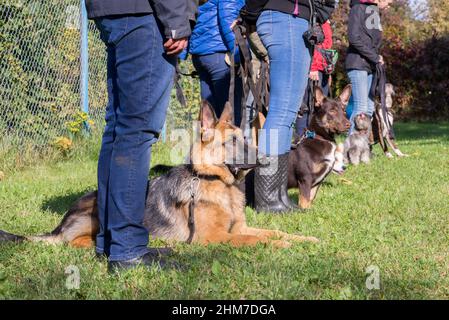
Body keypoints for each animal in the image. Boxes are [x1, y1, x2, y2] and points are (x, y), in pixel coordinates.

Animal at [0, 101, 318, 249]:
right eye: (232, 142)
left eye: (245, 138)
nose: (265, 159)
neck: (213, 182)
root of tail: (62, 222)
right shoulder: (213, 237)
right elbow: (254, 240)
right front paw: (281, 246)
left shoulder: (239, 228)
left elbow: (273, 231)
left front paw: (303, 239)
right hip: (95, 214)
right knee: (75, 241)